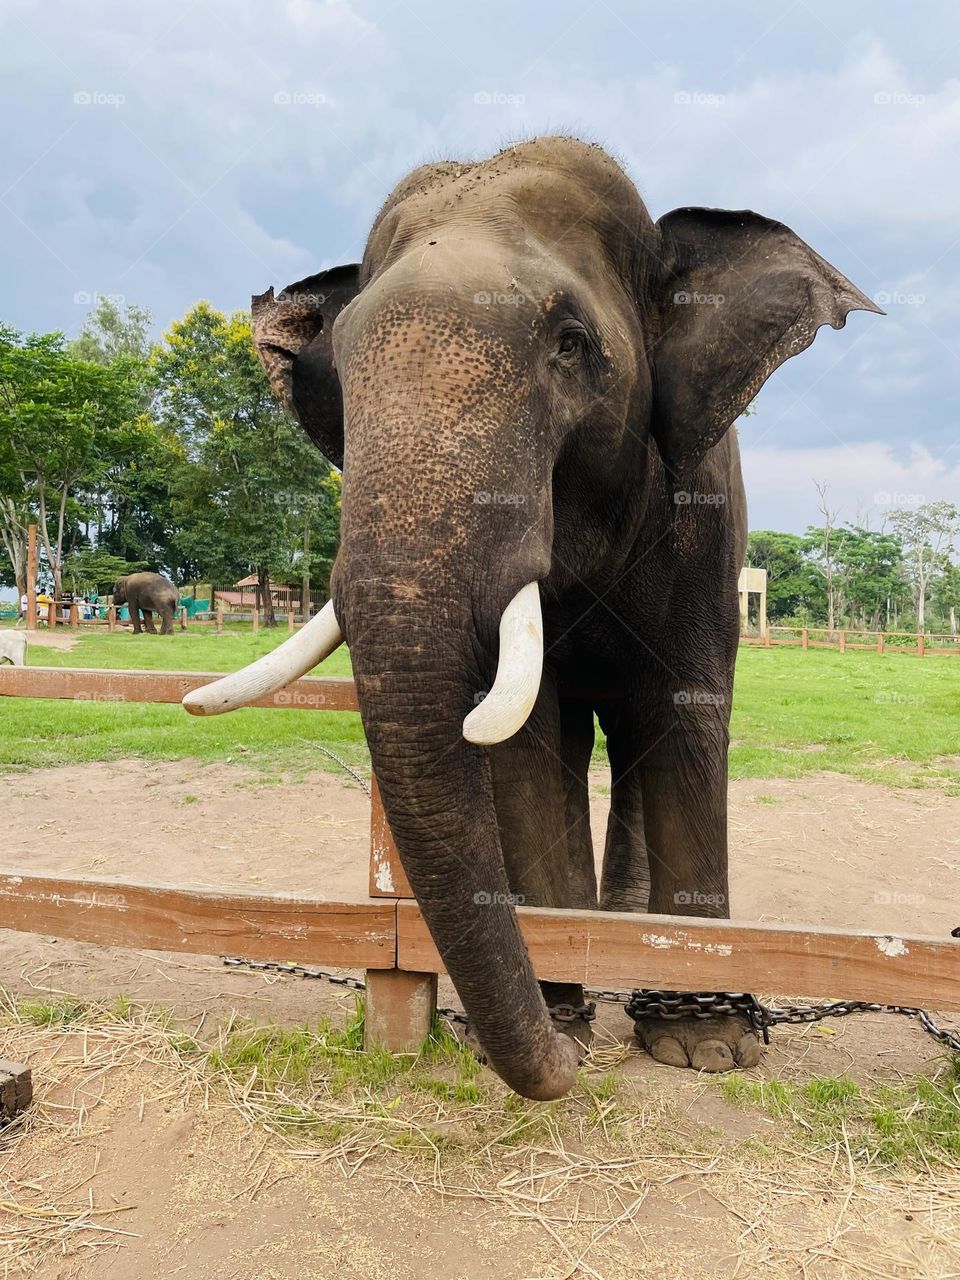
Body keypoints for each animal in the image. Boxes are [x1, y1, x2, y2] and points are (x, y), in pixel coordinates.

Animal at [185, 137, 880, 1100]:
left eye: (571, 345)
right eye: (341, 370)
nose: (547, 1065)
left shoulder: (702, 522)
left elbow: (685, 712)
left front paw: (705, 1045)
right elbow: (530, 737)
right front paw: (566, 1023)